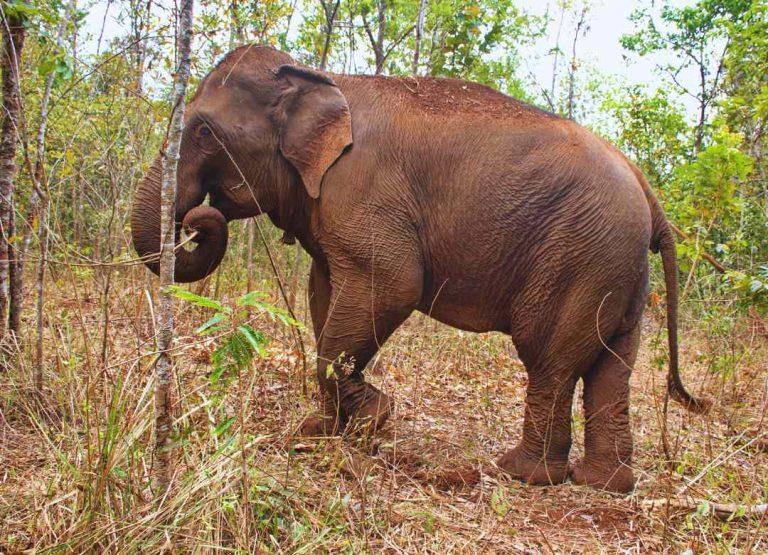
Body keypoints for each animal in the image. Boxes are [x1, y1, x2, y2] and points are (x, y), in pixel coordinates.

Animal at [130, 45, 708, 494]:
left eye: (204, 133)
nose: (198, 218)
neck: (320, 76)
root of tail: (649, 192)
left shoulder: (364, 191)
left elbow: (391, 285)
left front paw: (374, 420)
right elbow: (324, 294)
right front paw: (322, 430)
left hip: (579, 255)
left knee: (550, 358)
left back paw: (521, 473)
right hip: (615, 266)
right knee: (611, 364)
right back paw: (603, 483)